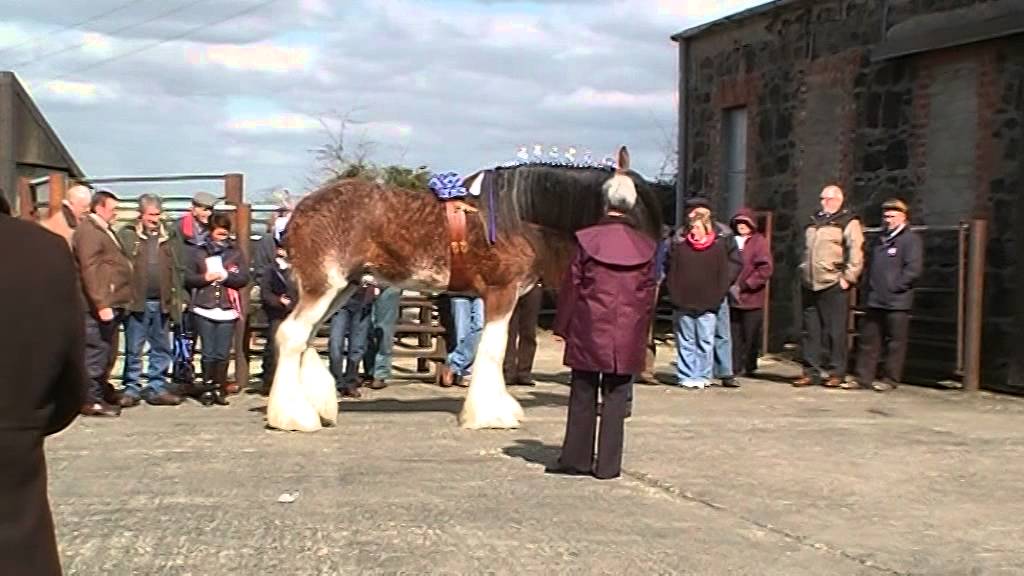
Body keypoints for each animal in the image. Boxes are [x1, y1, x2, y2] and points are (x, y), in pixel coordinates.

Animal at [266, 147, 663, 432]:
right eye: (621, 205)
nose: (648, 262)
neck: (517, 215)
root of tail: (298, 211)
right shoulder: (501, 293)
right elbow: (493, 351)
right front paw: (490, 415)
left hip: (341, 289)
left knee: (304, 339)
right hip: (325, 287)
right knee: (292, 335)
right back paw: (294, 418)